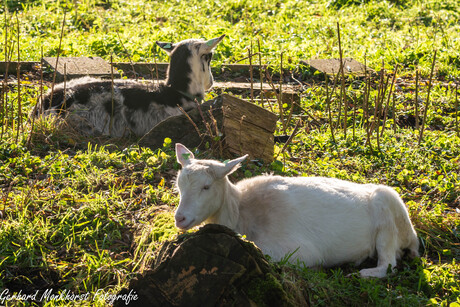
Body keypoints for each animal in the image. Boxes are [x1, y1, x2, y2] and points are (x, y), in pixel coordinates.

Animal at [174, 144, 418, 280]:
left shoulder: (296, 251)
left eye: (206, 187)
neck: (242, 211)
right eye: (179, 185)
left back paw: (364, 273)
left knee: (388, 264)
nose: (180, 218)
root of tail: (413, 236)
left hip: (388, 220)